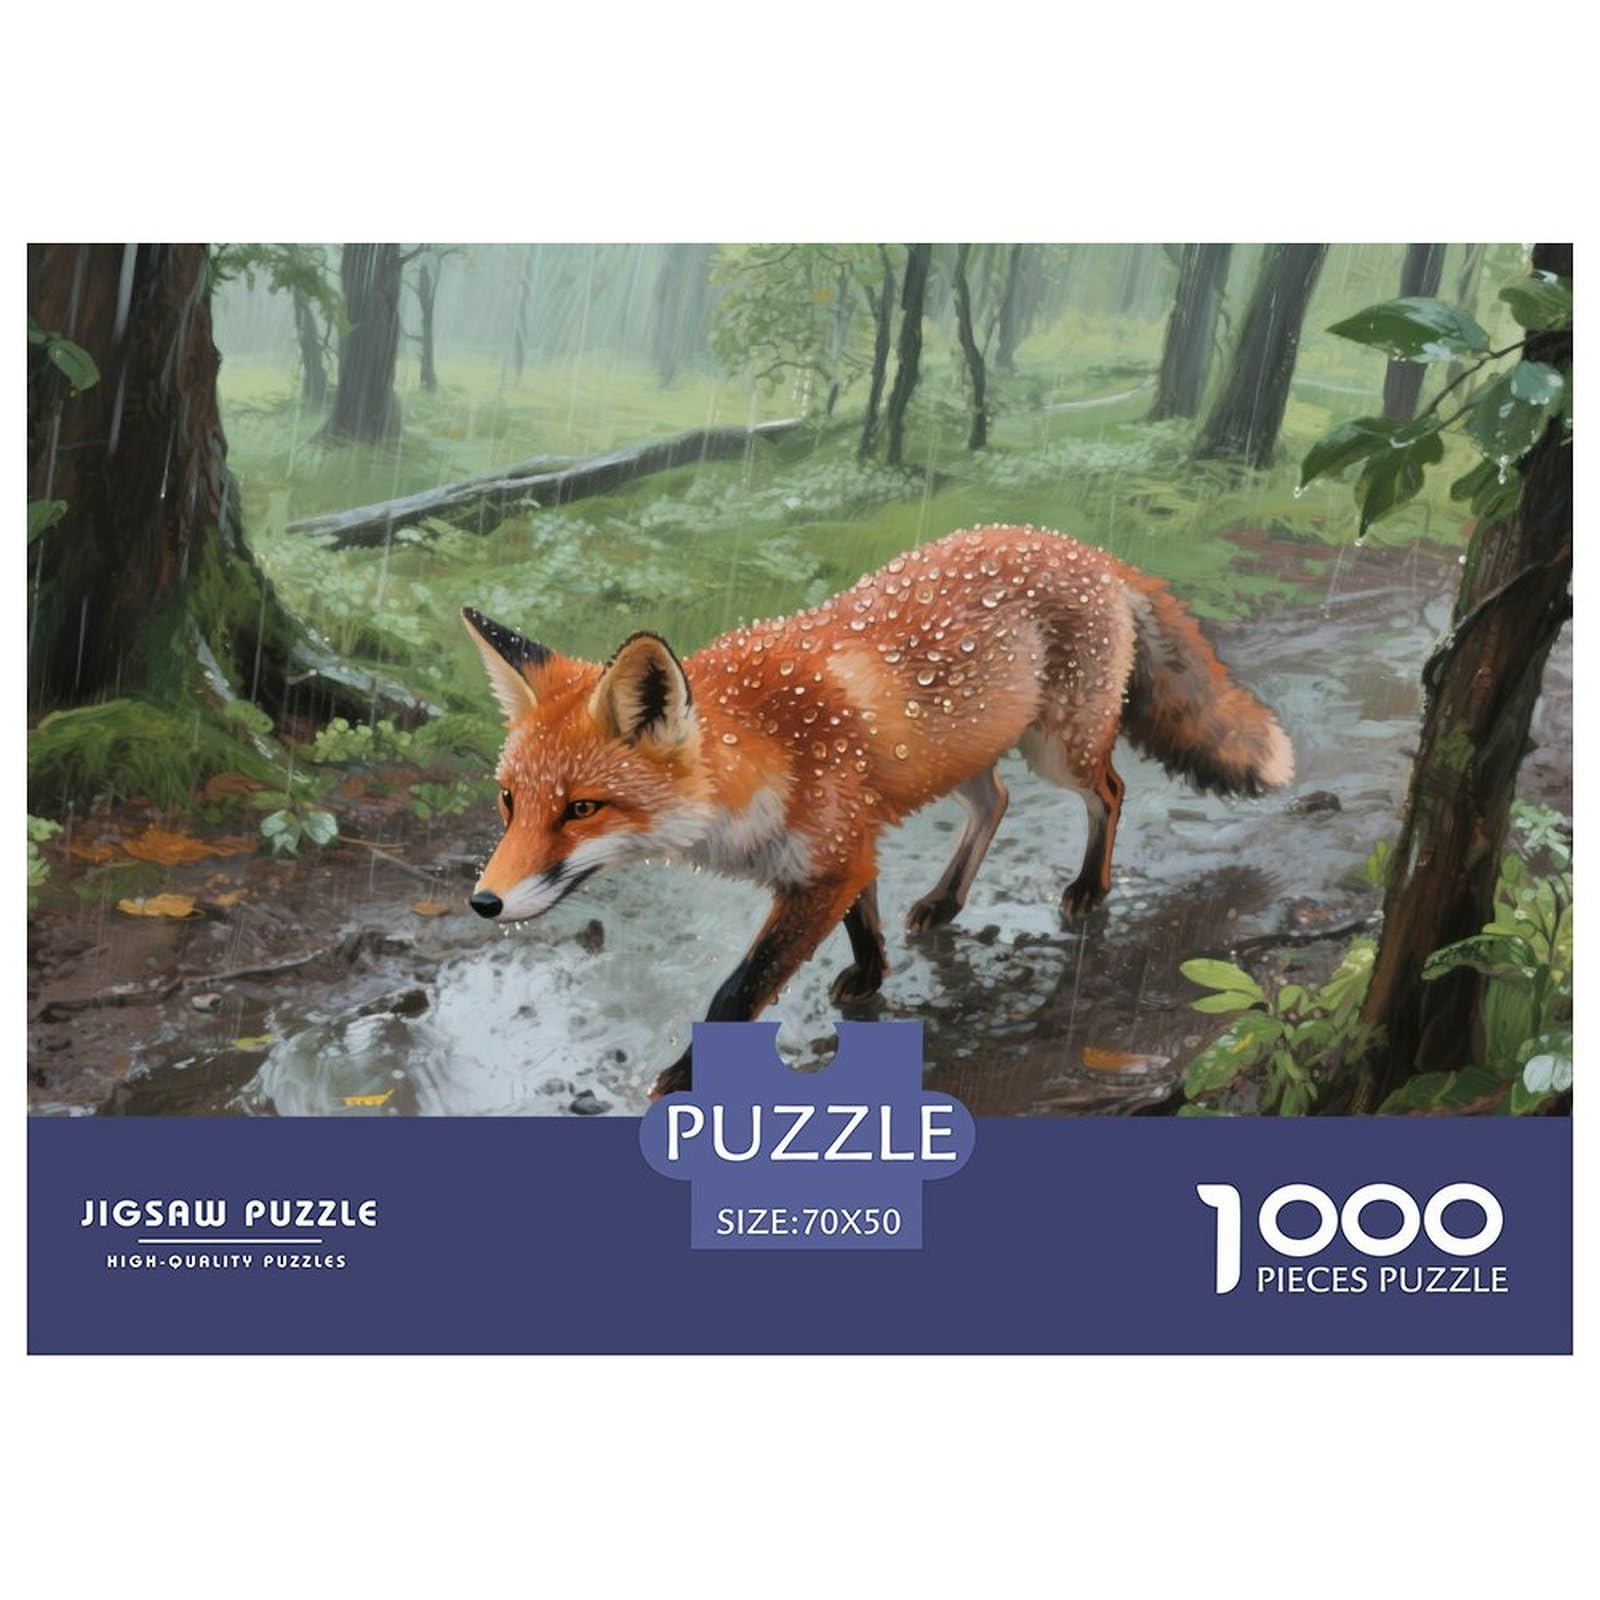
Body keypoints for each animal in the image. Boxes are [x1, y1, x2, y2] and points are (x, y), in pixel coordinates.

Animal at [461, 523, 1292, 1097]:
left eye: (581, 808)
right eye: (509, 801)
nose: (483, 902)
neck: (764, 752)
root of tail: (1078, 544)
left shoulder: (827, 859)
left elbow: (739, 990)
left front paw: (686, 1078)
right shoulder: (844, 847)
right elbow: (865, 915)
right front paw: (874, 972)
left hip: (1060, 749)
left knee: (1111, 793)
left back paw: (1090, 887)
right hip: (964, 755)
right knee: (996, 800)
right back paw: (946, 900)